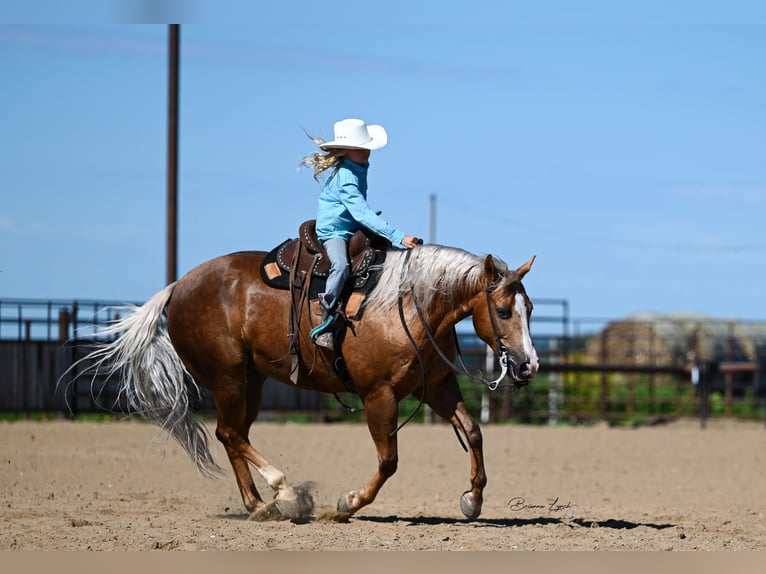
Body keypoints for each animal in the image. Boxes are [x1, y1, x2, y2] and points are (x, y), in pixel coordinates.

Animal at [82, 243, 540, 520]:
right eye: (503, 310)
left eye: (531, 308)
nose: (528, 365)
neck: (411, 305)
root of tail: (180, 287)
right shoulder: (379, 395)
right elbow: (388, 460)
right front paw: (347, 503)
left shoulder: (436, 386)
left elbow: (473, 432)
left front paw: (473, 500)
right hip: (227, 378)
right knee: (230, 432)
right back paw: (282, 492)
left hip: (250, 381)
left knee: (232, 435)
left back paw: (258, 504)